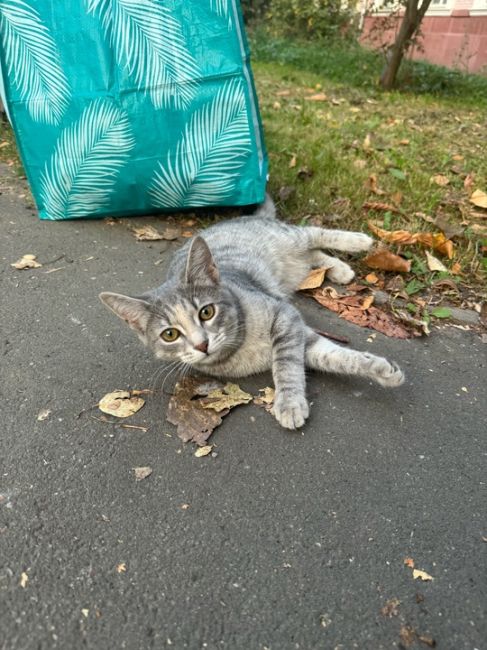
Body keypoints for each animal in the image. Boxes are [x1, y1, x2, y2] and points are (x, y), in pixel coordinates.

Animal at [100, 197, 404, 430]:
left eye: (206, 312)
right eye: (170, 334)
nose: (202, 344)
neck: (240, 349)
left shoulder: (287, 318)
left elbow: (287, 364)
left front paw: (289, 402)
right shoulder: (304, 338)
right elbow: (335, 356)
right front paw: (380, 369)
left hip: (290, 237)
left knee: (314, 233)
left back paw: (359, 241)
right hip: (296, 262)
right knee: (313, 254)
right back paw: (340, 269)